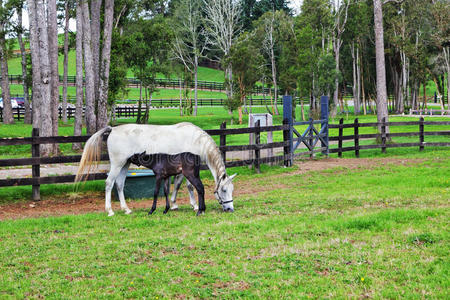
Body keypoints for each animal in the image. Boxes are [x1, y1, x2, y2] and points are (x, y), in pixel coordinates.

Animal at [74, 122, 236, 216]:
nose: (230, 209)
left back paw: (126, 209)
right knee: (109, 183)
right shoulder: (184, 171)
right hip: (117, 164)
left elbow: (175, 186)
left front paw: (173, 205)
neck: (196, 140)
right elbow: (186, 186)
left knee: (119, 184)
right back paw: (110, 210)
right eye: (223, 190)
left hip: (125, 164)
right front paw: (194, 206)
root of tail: (112, 129)